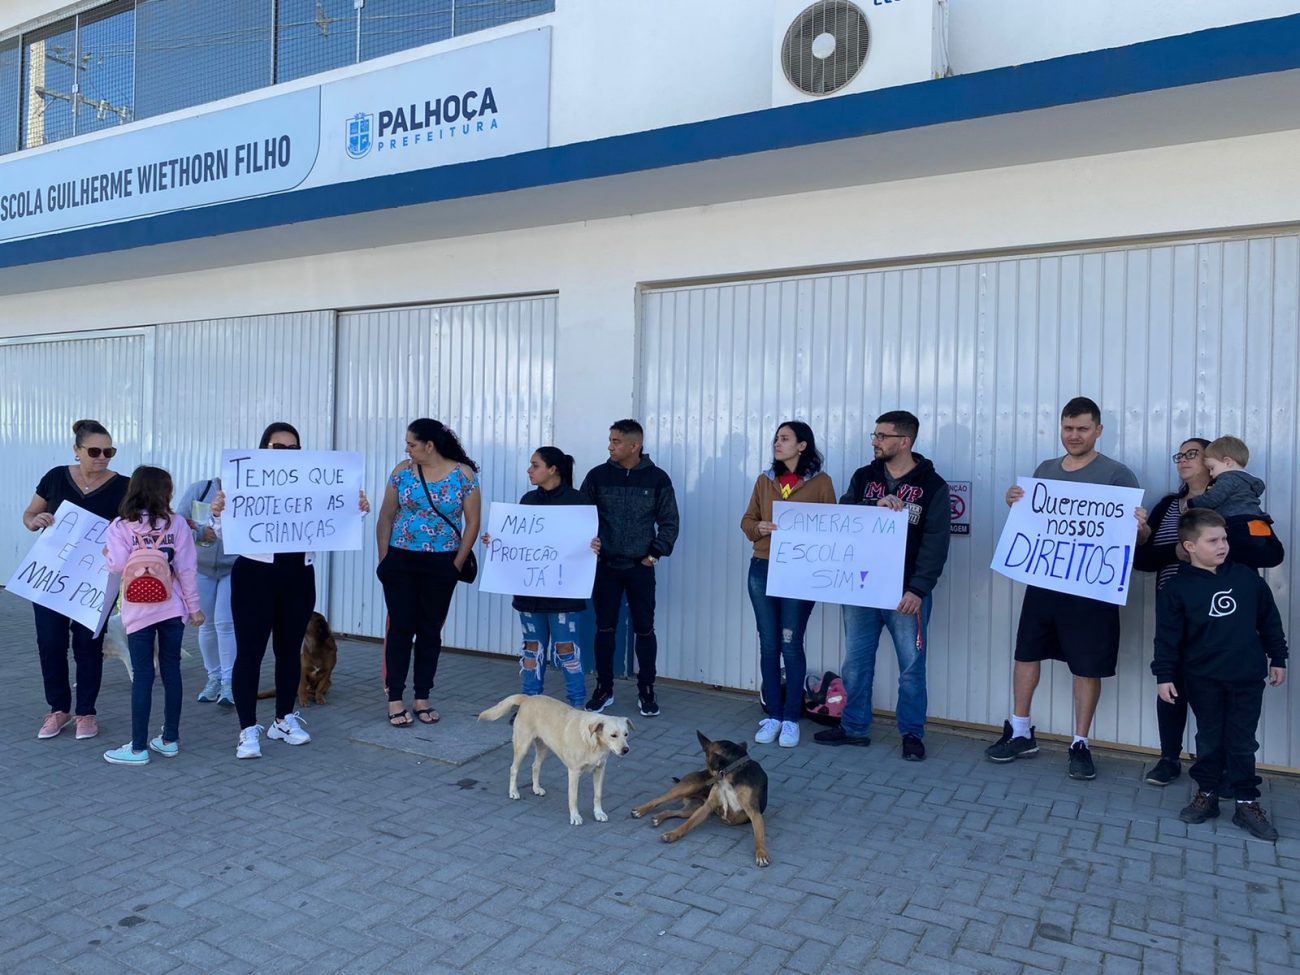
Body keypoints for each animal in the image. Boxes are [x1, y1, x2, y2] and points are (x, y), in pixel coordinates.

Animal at [483, 696, 634, 826]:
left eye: (626, 734)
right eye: (613, 735)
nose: (626, 750)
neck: (594, 743)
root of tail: (528, 697)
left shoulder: (599, 770)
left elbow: (598, 795)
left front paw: (598, 813)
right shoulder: (574, 773)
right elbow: (573, 798)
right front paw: (575, 816)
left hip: (544, 748)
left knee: (535, 766)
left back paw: (536, 788)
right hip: (522, 746)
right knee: (513, 768)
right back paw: (513, 791)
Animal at [631, 733, 769, 868]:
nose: (708, 780)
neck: (729, 773)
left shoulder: (754, 813)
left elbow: (759, 836)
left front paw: (761, 853)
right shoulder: (707, 807)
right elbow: (686, 825)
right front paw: (673, 834)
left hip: (691, 809)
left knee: (671, 811)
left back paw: (658, 817)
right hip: (687, 788)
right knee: (658, 799)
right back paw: (640, 810)